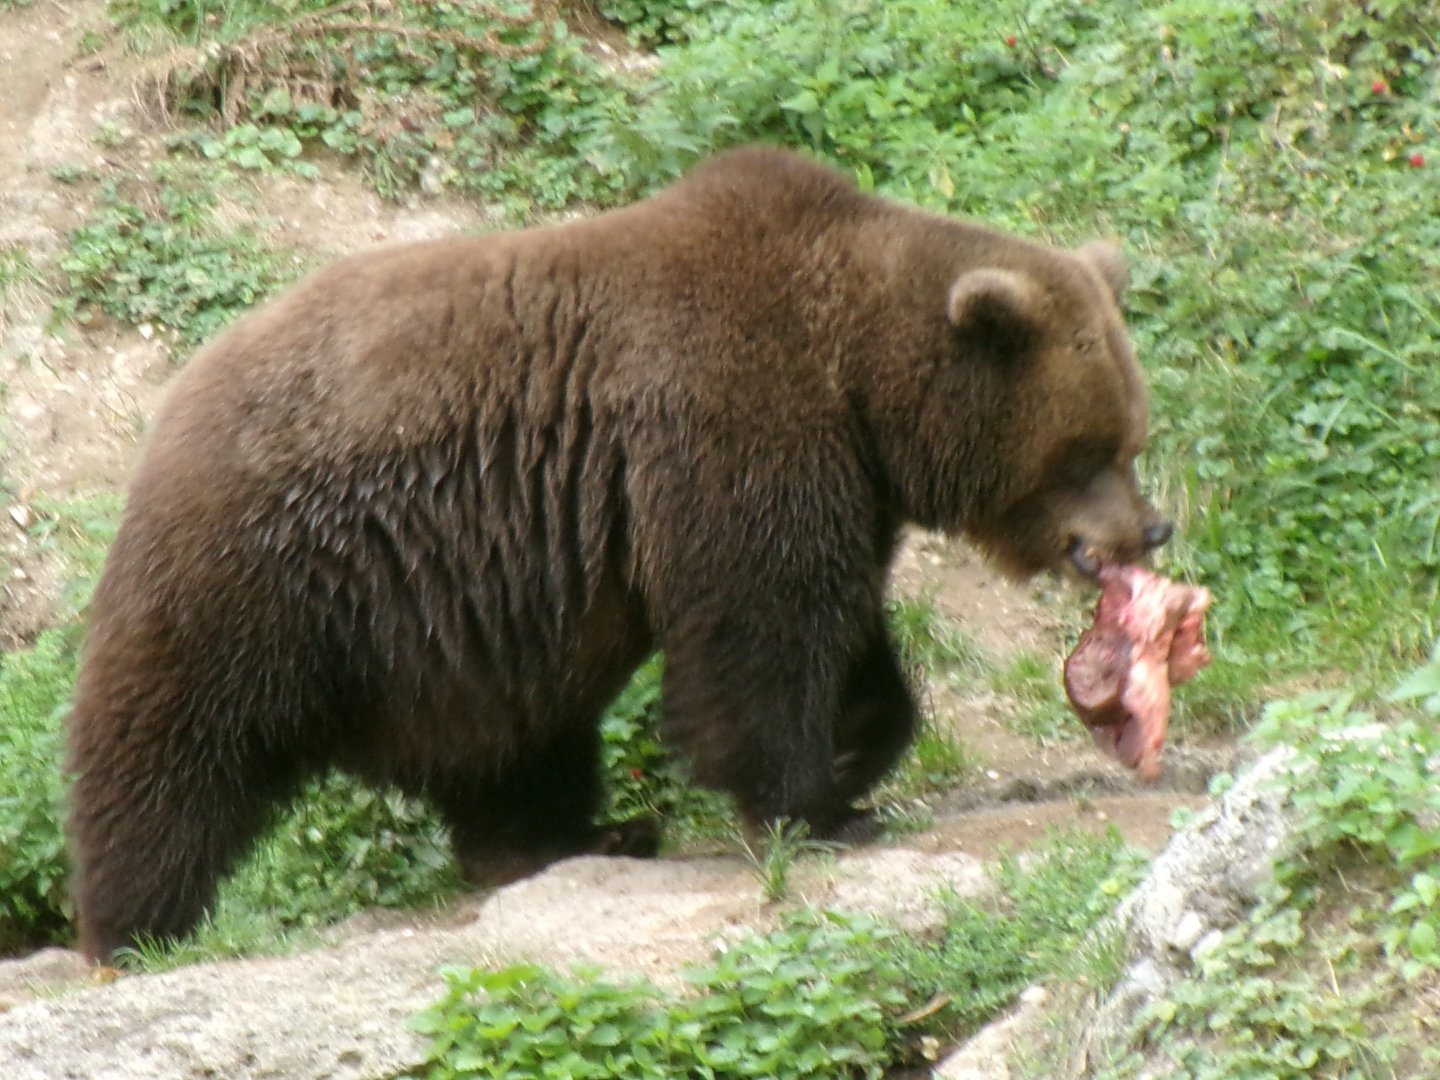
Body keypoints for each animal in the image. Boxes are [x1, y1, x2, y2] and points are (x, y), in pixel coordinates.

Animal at [66, 146, 1172, 961]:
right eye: (1088, 450)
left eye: (1131, 434)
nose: (1148, 529)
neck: (858, 379)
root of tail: (174, 404)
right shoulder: (733, 420)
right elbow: (763, 626)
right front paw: (815, 805)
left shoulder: (840, 481)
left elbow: (836, 619)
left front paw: (858, 747)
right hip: (272, 570)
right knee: (176, 742)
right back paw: (135, 925)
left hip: (461, 620)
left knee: (510, 742)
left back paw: (578, 836)